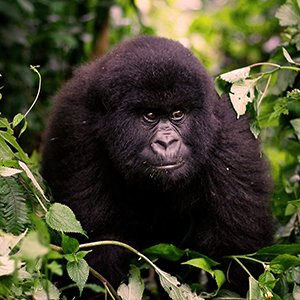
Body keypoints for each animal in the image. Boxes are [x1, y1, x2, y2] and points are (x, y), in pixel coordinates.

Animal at [42, 34, 274, 296]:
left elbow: (237, 256)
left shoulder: (230, 136)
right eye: (150, 116)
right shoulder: (75, 128)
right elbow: (100, 243)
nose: (167, 142)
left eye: (178, 113)